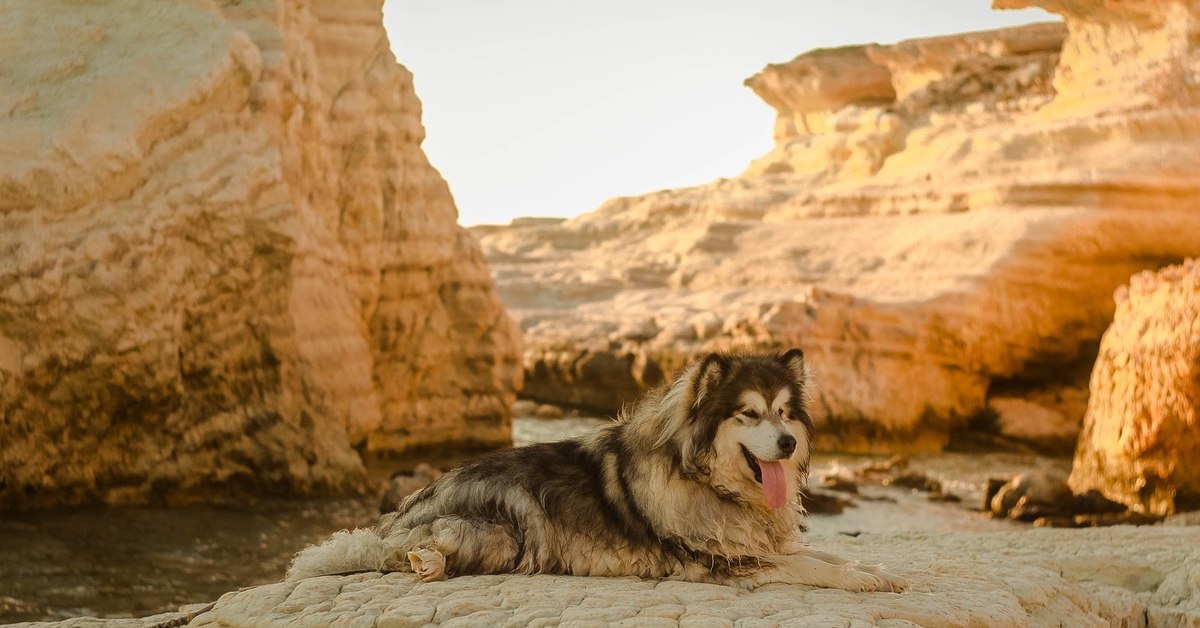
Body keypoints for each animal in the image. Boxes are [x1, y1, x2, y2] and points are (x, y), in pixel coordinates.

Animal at [288, 348, 907, 595]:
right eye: (749, 414)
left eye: (783, 412)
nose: (786, 442)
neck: (703, 478)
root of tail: (405, 511)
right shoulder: (725, 561)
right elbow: (812, 567)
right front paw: (861, 579)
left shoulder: (755, 543)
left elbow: (824, 554)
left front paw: (873, 566)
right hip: (503, 533)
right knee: (404, 555)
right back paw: (426, 561)